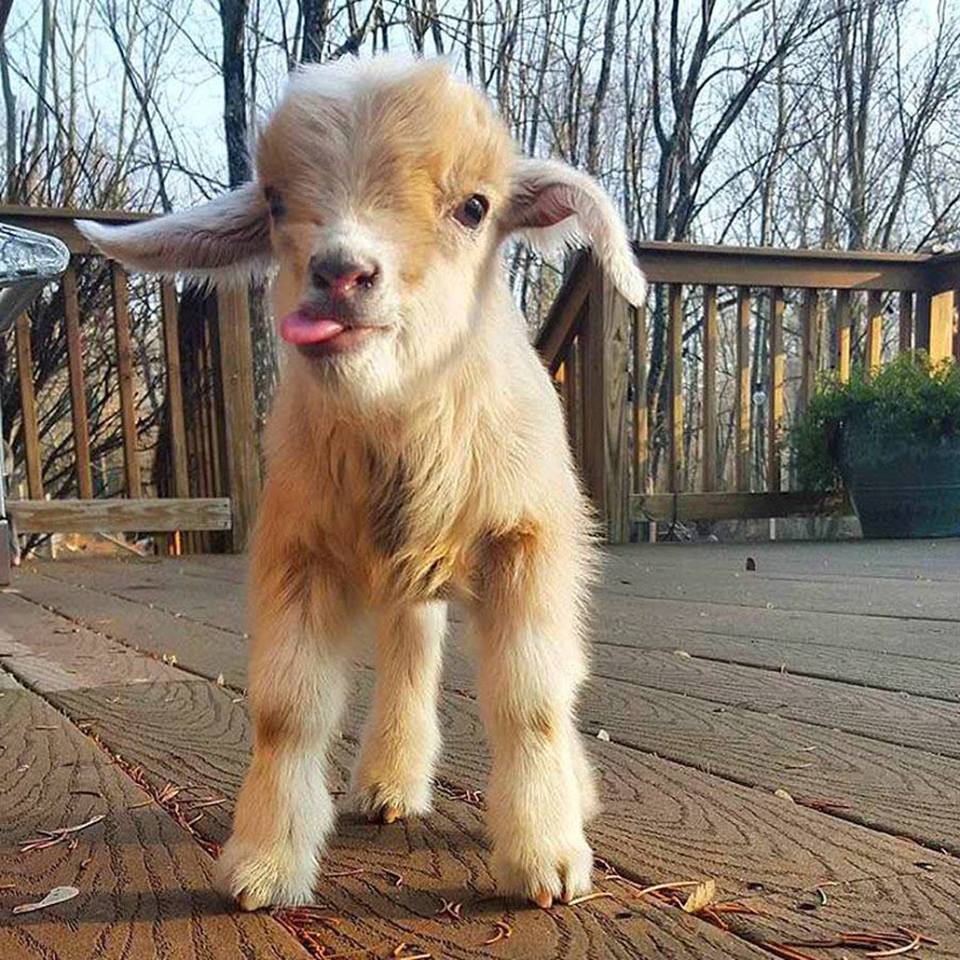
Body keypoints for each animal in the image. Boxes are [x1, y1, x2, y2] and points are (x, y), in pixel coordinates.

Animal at [78, 55, 646, 912]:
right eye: (276, 201)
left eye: (475, 207)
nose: (341, 273)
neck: (399, 419)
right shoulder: (296, 546)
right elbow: (287, 709)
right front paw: (263, 867)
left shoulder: (529, 540)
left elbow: (533, 699)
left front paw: (546, 861)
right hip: (407, 578)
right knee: (410, 653)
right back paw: (387, 784)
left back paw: (568, 795)